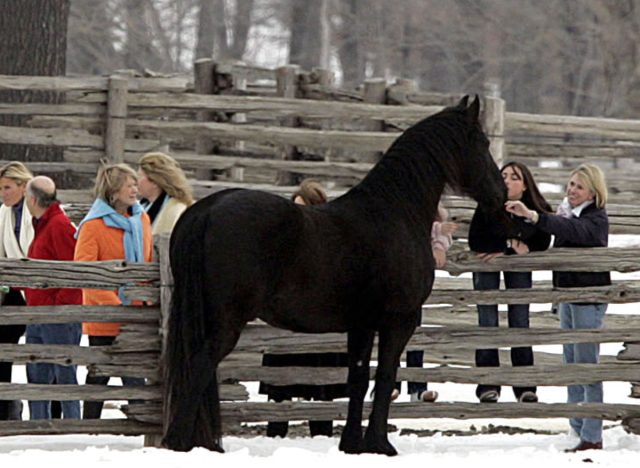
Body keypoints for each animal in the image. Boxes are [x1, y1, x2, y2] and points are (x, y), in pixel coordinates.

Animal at [162, 96, 508, 458]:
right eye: (483, 143)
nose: (501, 193)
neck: (395, 213)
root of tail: (206, 210)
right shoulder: (398, 321)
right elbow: (385, 376)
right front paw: (380, 445)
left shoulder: (361, 325)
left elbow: (357, 379)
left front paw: (352, 444)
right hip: (226, 323)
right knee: (199, 367)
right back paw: (179, 443)